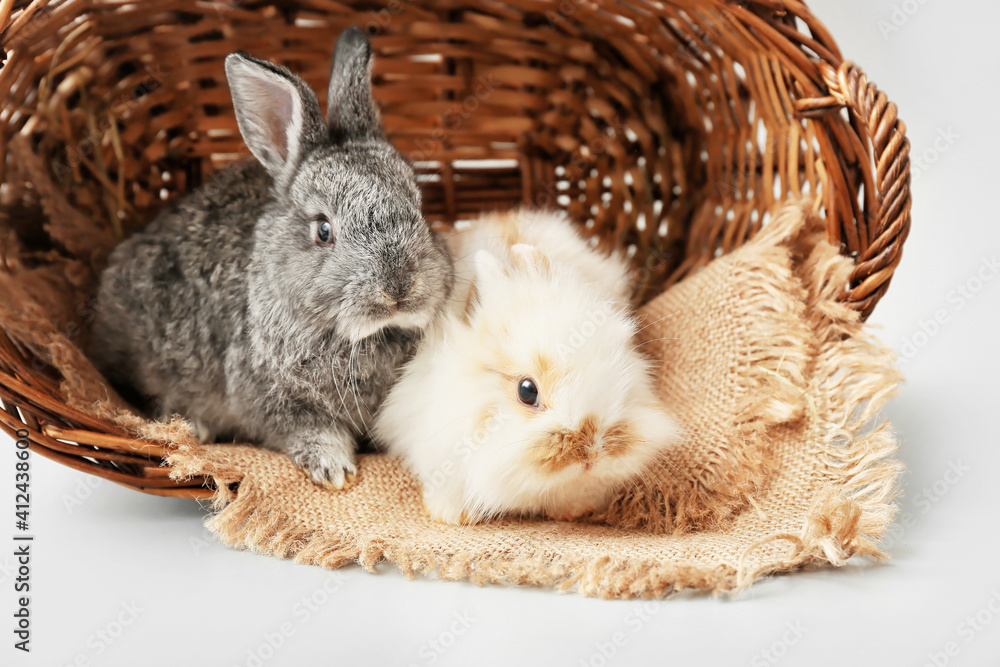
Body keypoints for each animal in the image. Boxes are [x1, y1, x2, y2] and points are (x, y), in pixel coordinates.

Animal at [91, 28, 454, 488]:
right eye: (323, 231)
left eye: (420, 209)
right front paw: (334, 471)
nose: (399, 287)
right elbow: (308, 430)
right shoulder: (273, 401)